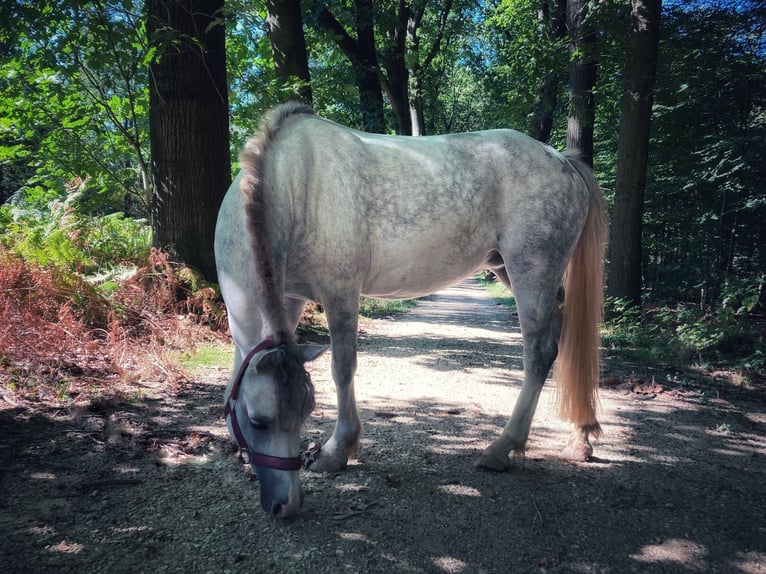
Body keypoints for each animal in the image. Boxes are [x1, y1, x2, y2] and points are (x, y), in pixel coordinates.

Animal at [214, 101, 608, 520]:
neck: (293, 181)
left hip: (532, 272)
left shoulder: (339, 292)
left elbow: (342, 369)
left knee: (539, 353)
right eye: (258, 422)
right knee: (564, 342)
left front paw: (336, 451)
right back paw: (580, 439)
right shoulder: (289, 298)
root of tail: (563, 161)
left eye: (304, 412)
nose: (286, 505)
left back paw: (501, 449)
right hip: (517, 273)